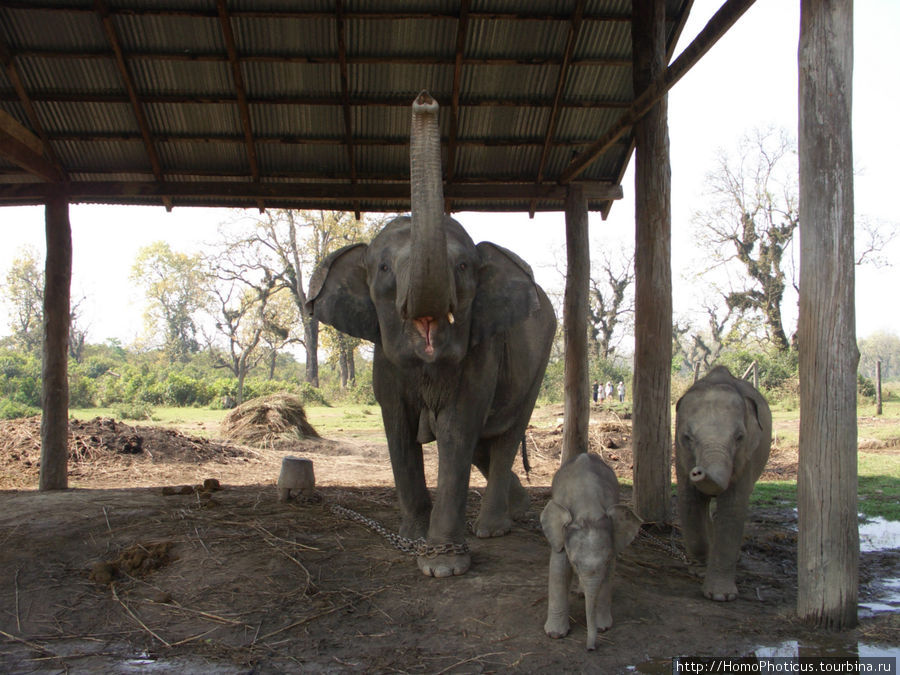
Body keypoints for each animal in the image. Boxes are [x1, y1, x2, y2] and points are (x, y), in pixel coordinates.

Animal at [306, 92, 556, 580]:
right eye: (384, 269)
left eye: (462, 267)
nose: (424, 100)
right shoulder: (384, 360)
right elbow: (398, 428)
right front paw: (411, 537)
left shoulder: (483, 349)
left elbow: (457, 428)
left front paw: (443, 564)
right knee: (486, 444)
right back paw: (516, 511)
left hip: (542, 357)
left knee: (505, 436)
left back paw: (492, 529)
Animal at [536, 454, 644, 648]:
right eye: (575, 563)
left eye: (607, 560)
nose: (590, 648)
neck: (588, 508)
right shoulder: (561, 535)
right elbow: (558, 568)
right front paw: (555, 635)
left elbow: (608, 574)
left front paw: (603, 628)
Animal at [676, 368, 772, 604]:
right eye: (687, 437)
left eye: (739, 437)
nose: (698, 472)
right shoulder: (680, 453)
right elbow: (690, 502)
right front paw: (700, 570)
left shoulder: (747, 457)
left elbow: (733, 508)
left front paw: (721, 596)